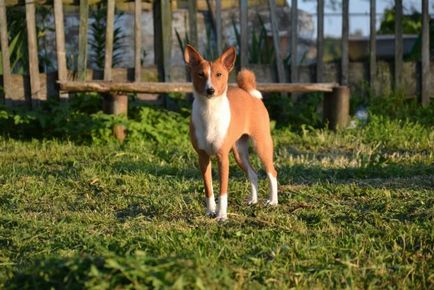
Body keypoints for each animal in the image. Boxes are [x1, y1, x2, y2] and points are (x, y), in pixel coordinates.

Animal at [183, 44, 278, 222]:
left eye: (219, 74)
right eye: (200, 74)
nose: (210, 90)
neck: (209, 112)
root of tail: (248, 92)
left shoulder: (223, 158)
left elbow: (223, 191)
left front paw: (222, 215)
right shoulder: (203, 158)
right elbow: (209, 189)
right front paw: (210, 211)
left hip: (261, 146)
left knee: (272, 173)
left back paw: (273, 201)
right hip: (239, 153)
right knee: (253, 174)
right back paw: (253, 200)